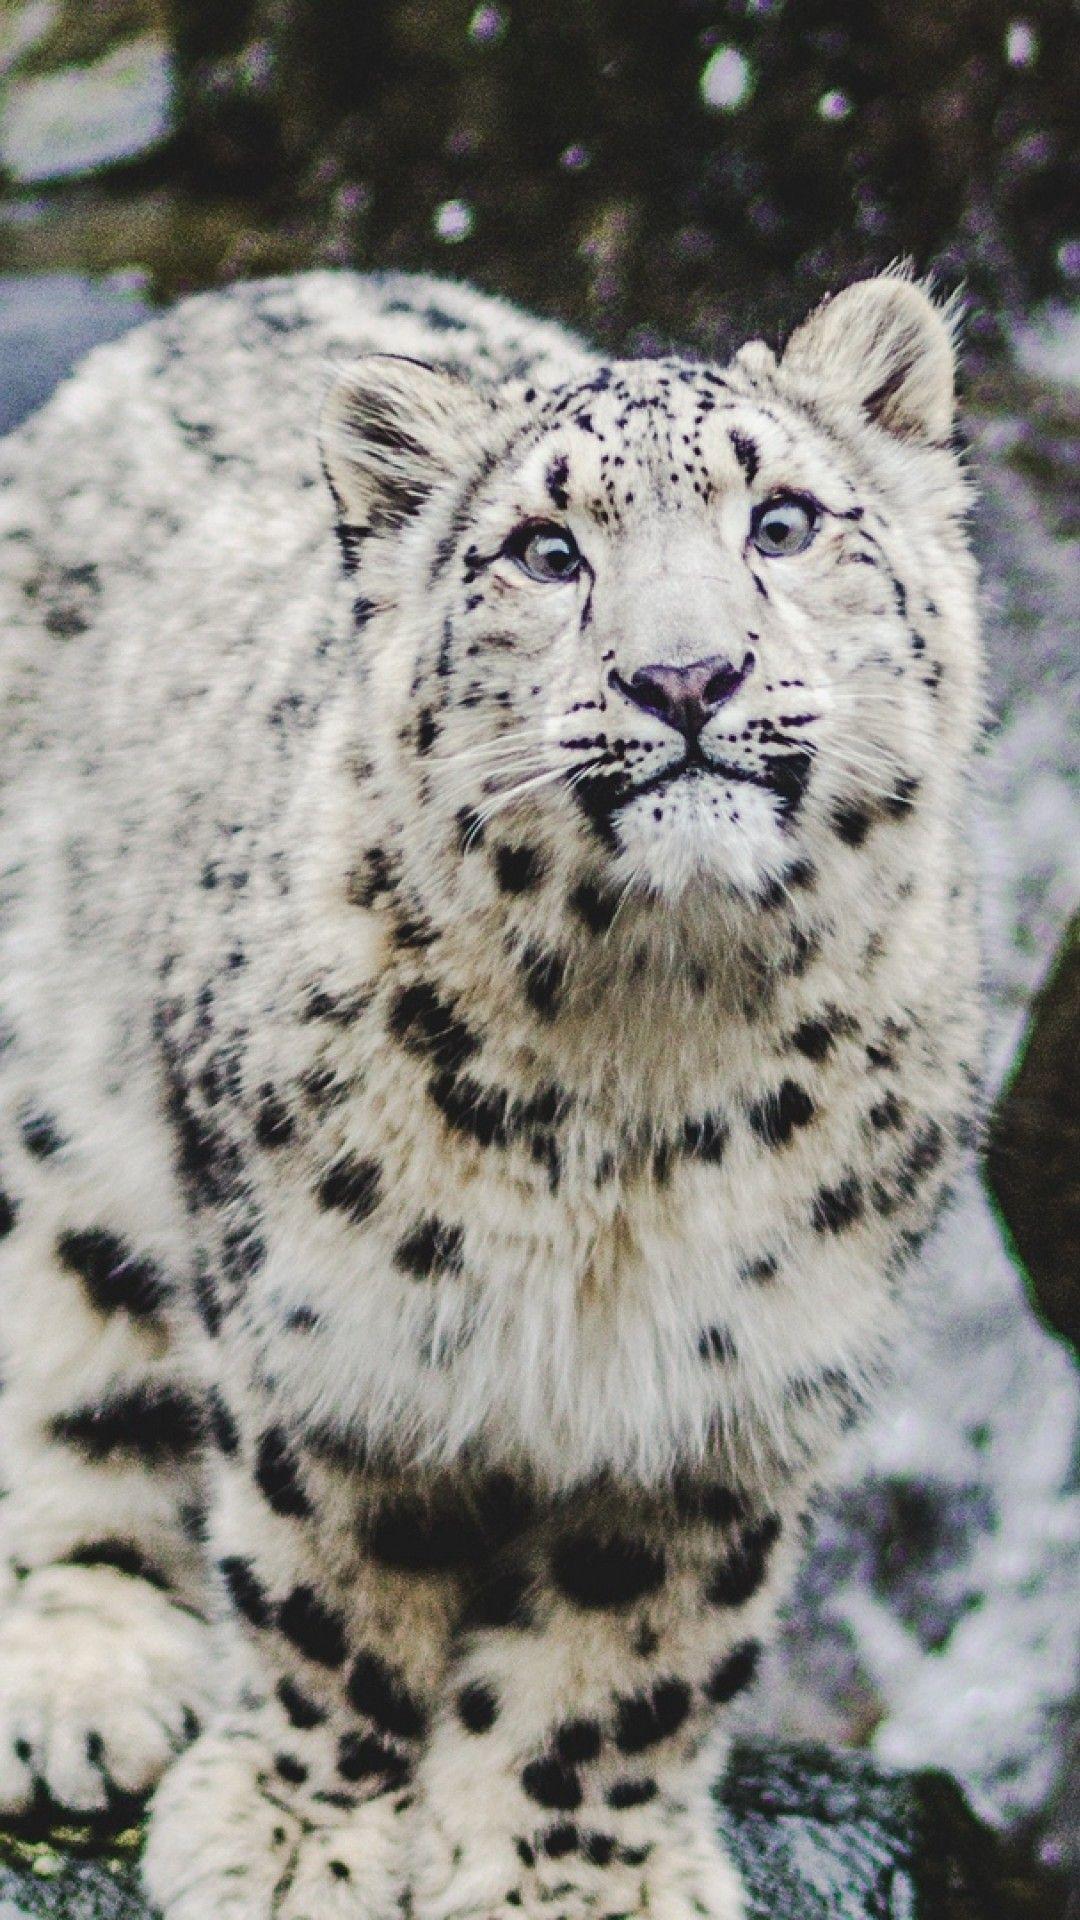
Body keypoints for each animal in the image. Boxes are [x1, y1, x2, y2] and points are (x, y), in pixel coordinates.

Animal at [0, 264, 982, 1920]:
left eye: (783, 522)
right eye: (546, 550)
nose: (685, 676)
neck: (649, 1058)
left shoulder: (734, 1384)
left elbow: (635, 1649)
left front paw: (569, 1874)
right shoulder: (337, 1341)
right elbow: (329, 1595)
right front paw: (298, 1840)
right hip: (47, 1113)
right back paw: (80, 1679)